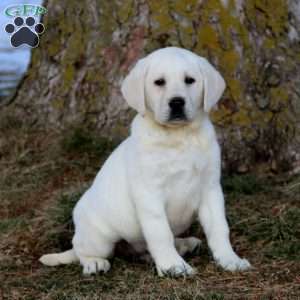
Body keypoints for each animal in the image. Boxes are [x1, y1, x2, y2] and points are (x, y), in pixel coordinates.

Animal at [39, 46, 251, 276]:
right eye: (159, 82)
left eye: (190, 80)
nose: (177, 102)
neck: (179, 137)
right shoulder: (149, 193)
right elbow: (160, 232)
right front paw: (173, 266)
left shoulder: (210, 188)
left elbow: (219, 228)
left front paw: (229, 259)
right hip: (99, 236)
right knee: (82, 250)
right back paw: (94, 263)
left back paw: (183, 244)